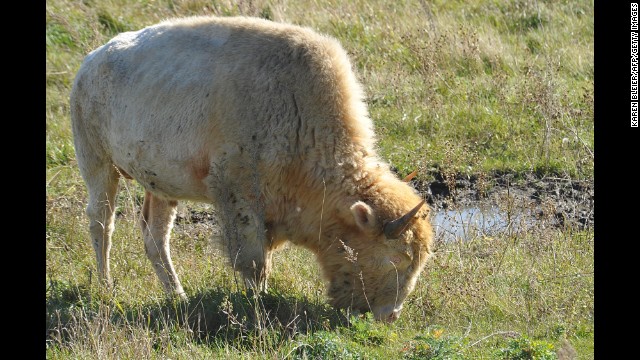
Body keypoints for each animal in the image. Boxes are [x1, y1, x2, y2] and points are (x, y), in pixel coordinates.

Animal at [72, 15, 436, 322]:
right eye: (397, 259)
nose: (390, 315)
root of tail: (89, 64)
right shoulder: (239, 195)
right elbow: (253, 261)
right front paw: (258, 302)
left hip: (159, 186)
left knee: (155, 236)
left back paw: (177, 295)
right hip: (98, 165)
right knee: (101, 222)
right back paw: (106, 286)